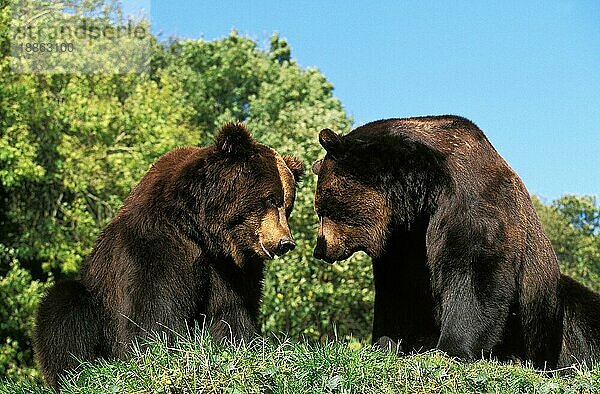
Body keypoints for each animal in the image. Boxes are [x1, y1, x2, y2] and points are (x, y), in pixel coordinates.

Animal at [33, 122, 304, 388]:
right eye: (271, 199)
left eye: (287, 205)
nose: (285, 242)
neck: (199, 229)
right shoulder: (155, 246)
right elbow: (155, 306)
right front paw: (164, 347)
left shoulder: (230, 268)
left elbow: (231, 310)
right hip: (97, 301)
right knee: (64, 308)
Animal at [312, 114, 600, 370]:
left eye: (323, 208)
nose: (320, 248)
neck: (421, 195)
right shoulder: (404, 242)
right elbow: (399, 293)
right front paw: (386, 344)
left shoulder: (472, 207)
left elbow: (473, 274)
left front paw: (450, 348)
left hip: (551, 312)